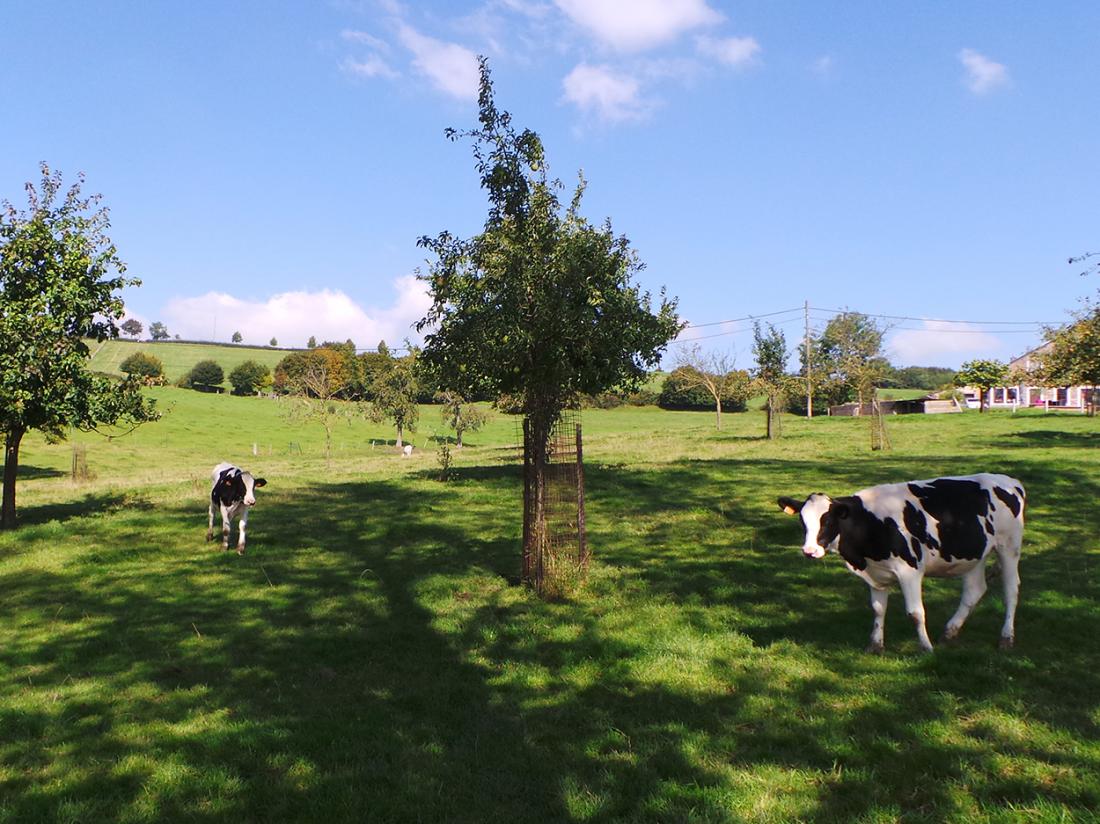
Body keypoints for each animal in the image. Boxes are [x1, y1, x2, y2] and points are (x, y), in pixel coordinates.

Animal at [778, 473, 1025, 651]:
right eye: (802, 521)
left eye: (828, 520)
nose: (809, 551)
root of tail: (1010, 481)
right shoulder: (876, 574)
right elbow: (878, 609)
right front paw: (875, 645)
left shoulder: (910, 571)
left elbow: (915, 613)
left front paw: (926, 647)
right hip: (973, 555)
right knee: (974, 591)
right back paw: (950, 631)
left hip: (1009, 547)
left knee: (1011, 591)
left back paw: (1006, 637)